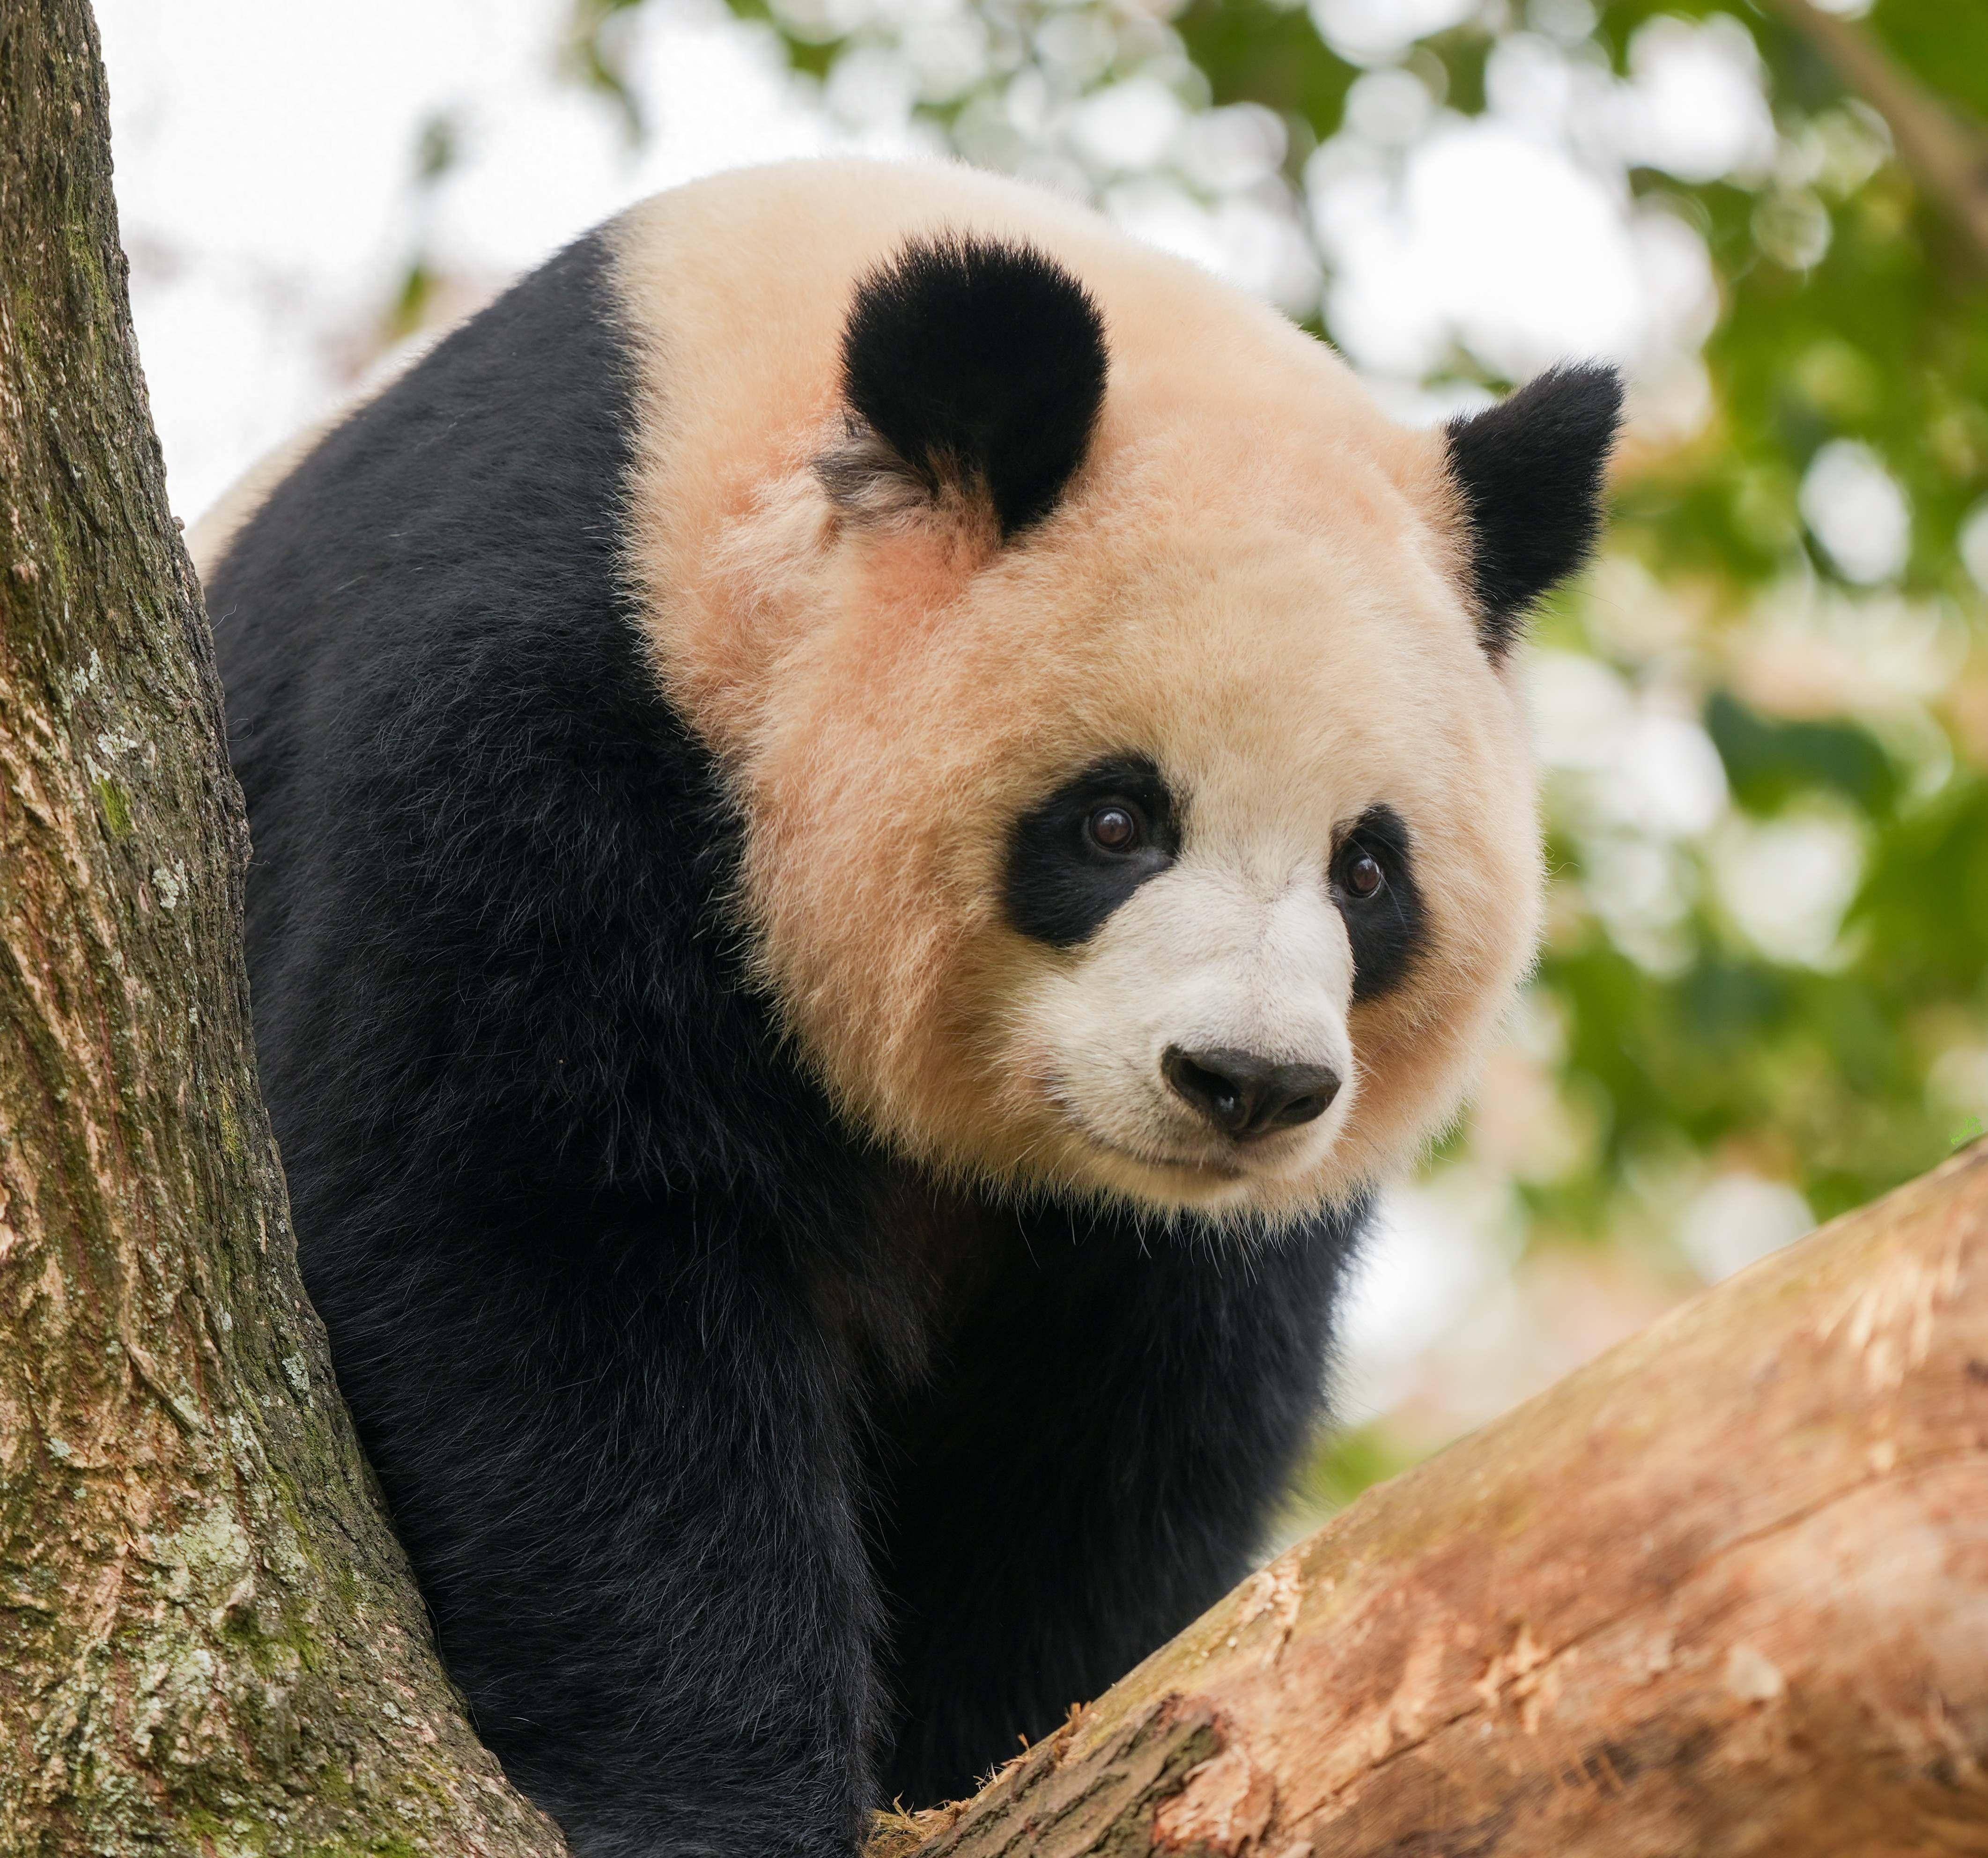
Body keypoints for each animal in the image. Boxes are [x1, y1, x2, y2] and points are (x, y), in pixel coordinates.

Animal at [201, 156, 1622, 1858]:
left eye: (1366, 871)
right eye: (1113, 822)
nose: (1245, 1084)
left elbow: (1115, 1425)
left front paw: (1000, 1751)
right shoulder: (525, 718)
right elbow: (540, 1255)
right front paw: (704, 1798)